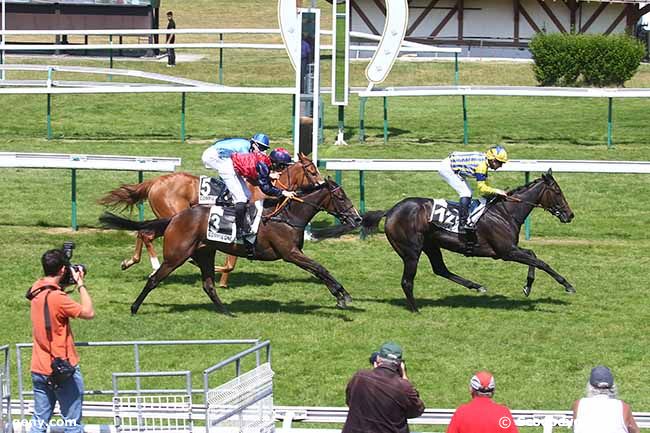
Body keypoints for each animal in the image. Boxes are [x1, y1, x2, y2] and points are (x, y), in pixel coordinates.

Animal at [97, 177, 360, 316]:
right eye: (341, 197)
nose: (357, 219)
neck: (286, 215)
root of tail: (176, 218)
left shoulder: (296, 253)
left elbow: (319, 270)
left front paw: (340, 296)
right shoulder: (290, 253)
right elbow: (320, 268)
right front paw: (343, 294)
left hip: (205, 252)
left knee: (208, 284)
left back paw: (226, 312)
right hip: (176, 255)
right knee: (154, 278)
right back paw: (134, 307)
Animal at [98, 154, 322, 286]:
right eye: (312, 171)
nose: (322, 184)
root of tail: (155, 181)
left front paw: (219, 278)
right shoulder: (244, 228)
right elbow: (230, 263)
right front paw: (215, 275)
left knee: (143, 231)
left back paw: (130, 261)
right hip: (174, 214)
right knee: (147, 234)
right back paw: (154, 266)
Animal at [362, 169, 576, 310]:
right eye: (558, 192)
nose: (570, 215)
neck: (505, 212)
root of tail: (390, 211)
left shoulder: (511, 249)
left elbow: (533, 255)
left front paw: (528, 286)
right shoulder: (506, 251)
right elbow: (541, 262)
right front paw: (567, 285)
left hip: (431, 245)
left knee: (440, 269)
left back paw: (477, 286)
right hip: (411, 251)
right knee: (407, 281)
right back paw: (415, 310)